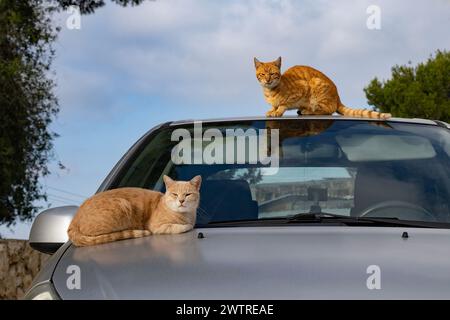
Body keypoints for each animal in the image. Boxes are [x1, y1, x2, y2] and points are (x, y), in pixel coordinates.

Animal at [68, 175, 202, 248]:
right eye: (175, 194)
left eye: (188, 194)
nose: (181, 201)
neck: (185, 215)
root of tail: (74, 220)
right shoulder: (156, 226)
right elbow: (182, 227)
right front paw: (186, 226)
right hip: (122, 205)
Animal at [255, 56, 392, 119]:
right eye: (262, 74)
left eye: (272, 74)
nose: (267, 80)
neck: (270, 91)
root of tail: (337, 97)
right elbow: (274, 105)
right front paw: (272, 110)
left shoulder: (301, 89)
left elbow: (283, 104)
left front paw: (277, 111)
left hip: (316, 85)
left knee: (327, 110)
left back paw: (307, 111)